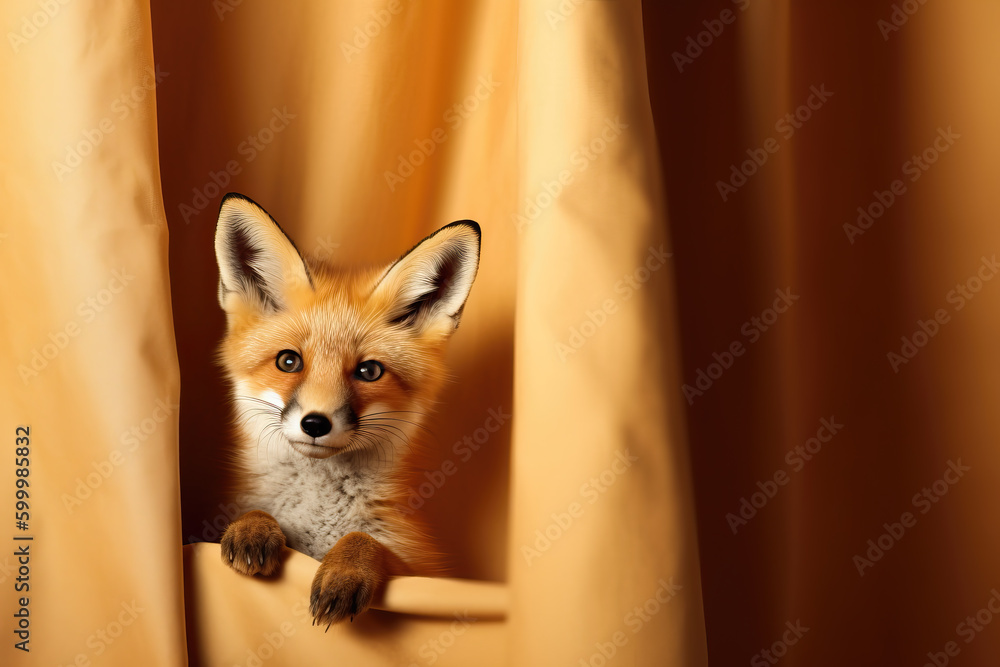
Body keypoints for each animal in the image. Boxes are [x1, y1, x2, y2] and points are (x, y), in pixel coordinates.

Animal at [213, 193, 481, 627]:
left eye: (369, 371)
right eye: (288, 361)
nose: (315, 423)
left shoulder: (421, 571)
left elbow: (366, 539)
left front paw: (347, 568)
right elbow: (255, 513)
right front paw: (253, 527)